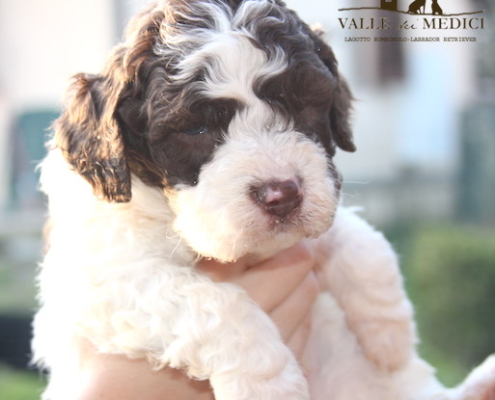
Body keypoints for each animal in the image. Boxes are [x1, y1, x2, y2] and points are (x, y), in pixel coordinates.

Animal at [31, 0, 495, 400]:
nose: (282, 195)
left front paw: (391, 330)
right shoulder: (99, 274)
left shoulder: (320, 199)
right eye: (195, 129)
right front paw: (269, 385)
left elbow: (359, 237)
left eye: (302, 104)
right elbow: (219, 304)